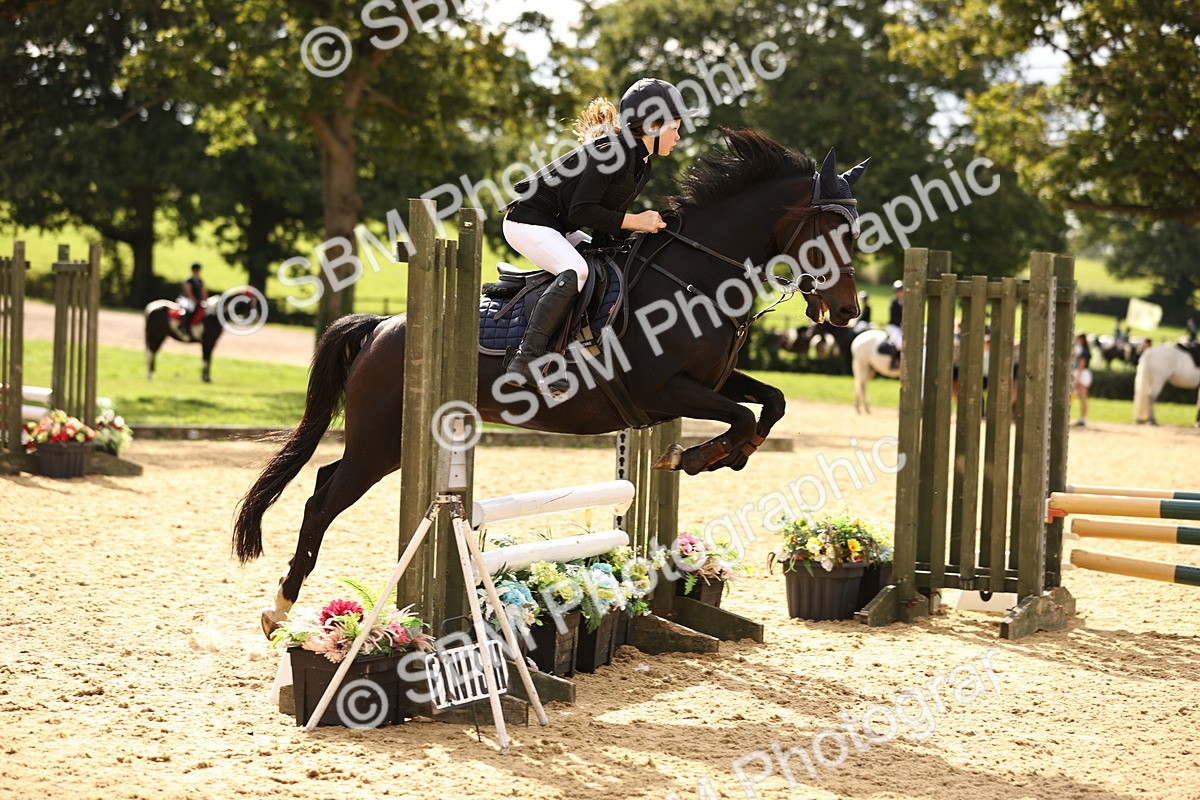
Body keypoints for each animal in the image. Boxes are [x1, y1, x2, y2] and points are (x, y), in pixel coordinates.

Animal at [232, 130, 870, 634]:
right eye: (827, 229)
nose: (846, 312)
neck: (696, 276)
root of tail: (383, 327)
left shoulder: (714, 379)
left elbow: (772, 403)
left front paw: (726, 456)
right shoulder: (663, 390)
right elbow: (739, 416)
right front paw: (692, 458)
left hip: (385, 443)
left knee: (324, 483)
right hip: (383, 441)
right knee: (323, 500)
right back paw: (280, 609)